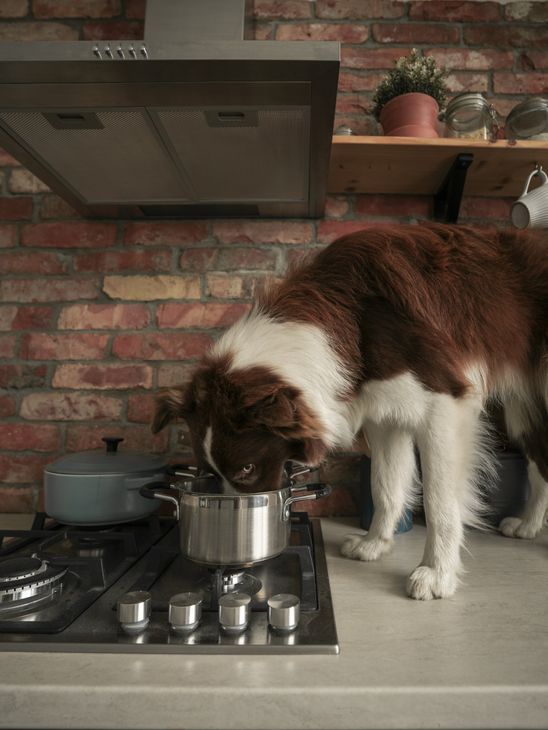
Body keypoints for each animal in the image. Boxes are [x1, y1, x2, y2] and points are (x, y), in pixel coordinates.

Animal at [152, 223, 548, 596]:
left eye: (247, 469)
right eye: (208, 472)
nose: (241, 523)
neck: (352, 318)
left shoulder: (445, 402)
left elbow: (439, 501)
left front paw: (436, 574)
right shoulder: (386, 415)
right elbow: (385, 484)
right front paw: (375, 544)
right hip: (524, 408)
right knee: (540, 463)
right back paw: (528, 525)